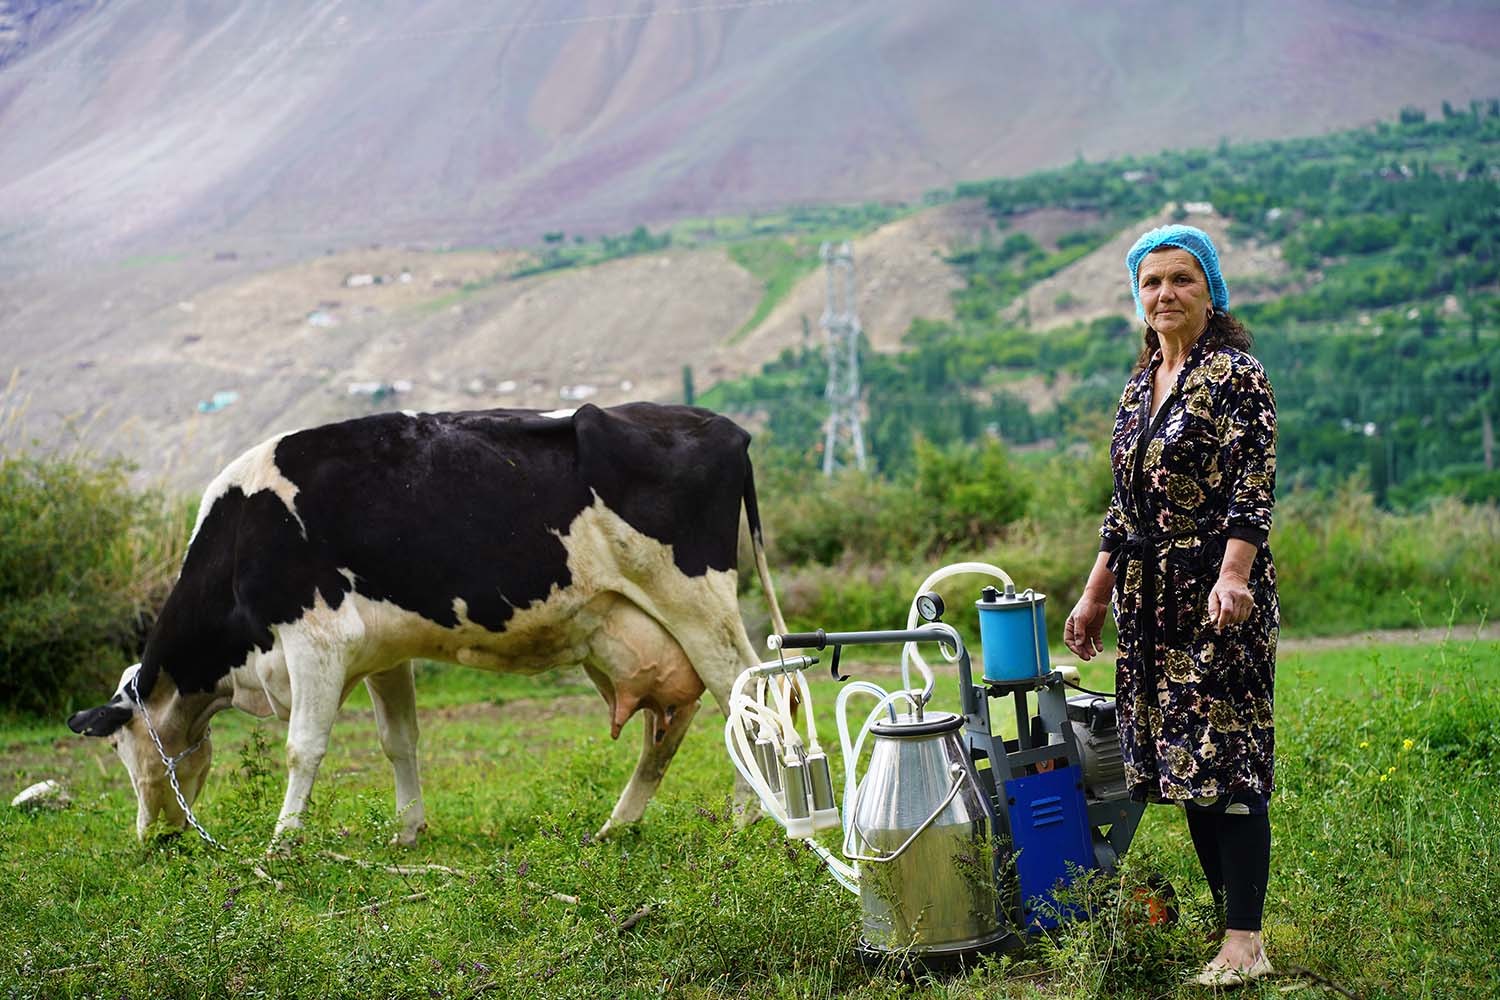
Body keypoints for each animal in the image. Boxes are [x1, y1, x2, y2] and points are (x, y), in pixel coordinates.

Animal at [67, 401, 786, 851]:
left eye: (119, 745)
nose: (151, 836)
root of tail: (720, 426)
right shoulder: (383, 652)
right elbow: (399, 742)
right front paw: (407, 831)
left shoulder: (315, 639)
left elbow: (305, 746)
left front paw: (282, 842)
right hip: (643, 627)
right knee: (673, 724)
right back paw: (616, 827)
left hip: (697, 601)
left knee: (752, 698)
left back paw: (744, 820)